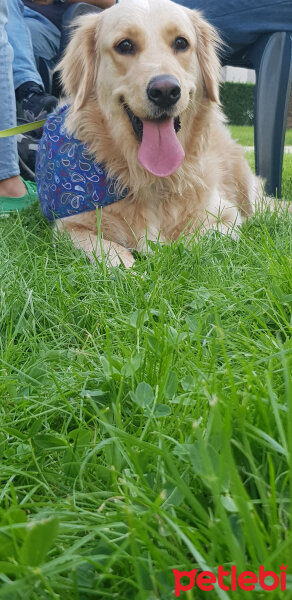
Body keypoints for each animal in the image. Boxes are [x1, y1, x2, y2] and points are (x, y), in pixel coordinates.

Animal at [39, 0, 280, 268]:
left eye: (181, 43)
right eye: (125, 45)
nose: (165, 91)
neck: (152, 179)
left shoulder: (227, 217)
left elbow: (196, 240)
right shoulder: (68, 228)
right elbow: (109, 252)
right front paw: (132, 271)